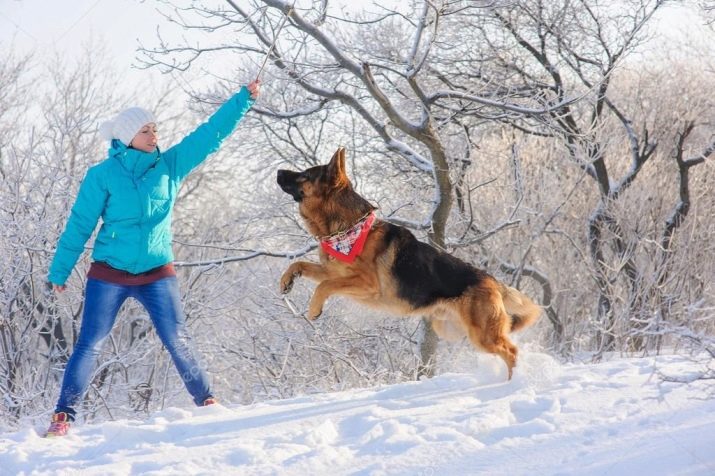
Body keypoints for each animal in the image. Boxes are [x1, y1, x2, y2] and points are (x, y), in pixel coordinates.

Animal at [276, 147, 541, 379]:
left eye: (305, 174)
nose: (278, 171)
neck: (347, 229)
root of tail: (493, 281)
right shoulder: (332, 271)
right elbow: (300, 264)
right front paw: (286, 281)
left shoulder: (365, 284)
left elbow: (324, 286)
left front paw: (313, 309)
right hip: (452, 330)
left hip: (482, 335)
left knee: (512, 352)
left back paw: (514, 382)